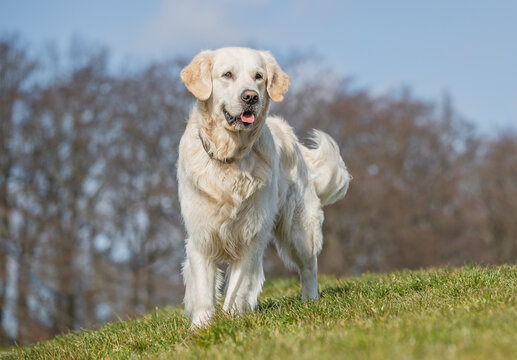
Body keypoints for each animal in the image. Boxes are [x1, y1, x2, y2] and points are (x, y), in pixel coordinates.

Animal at [177, 46, 350, 328]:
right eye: (227, 74)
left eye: (258, 76)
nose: (251, 97)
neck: (231, 158)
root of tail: (291, 136)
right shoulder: (201, 235)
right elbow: (203, 288)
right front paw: (201, 326)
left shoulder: (250, 235)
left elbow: (236, 287)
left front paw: (230, 317)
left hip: (298, 230)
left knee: (309, 267)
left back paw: (310, 300)